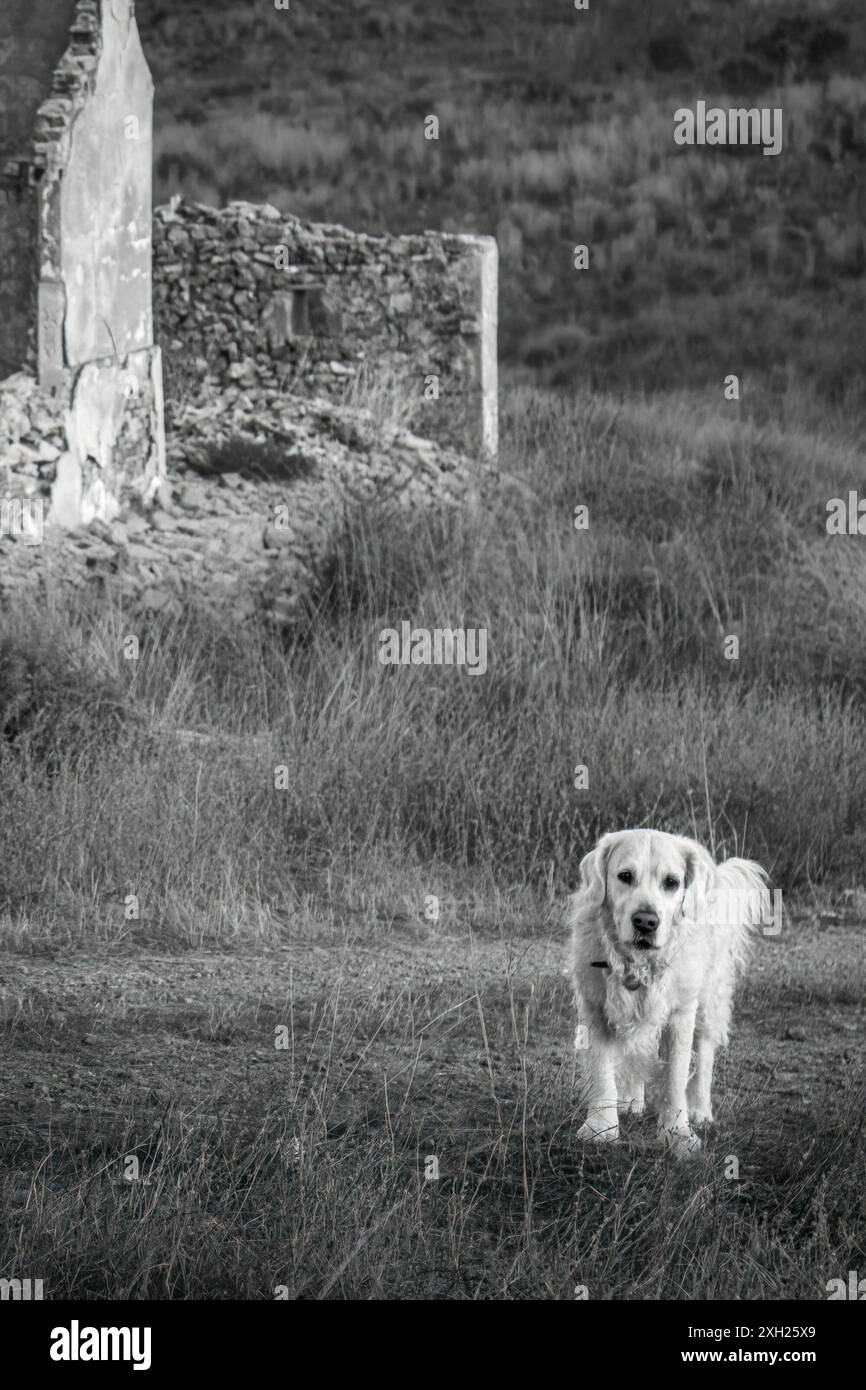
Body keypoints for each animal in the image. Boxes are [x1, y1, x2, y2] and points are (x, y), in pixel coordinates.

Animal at [572, 828, 767, 1156]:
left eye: (672, 882)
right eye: (625, 876)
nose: (646, 922)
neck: (638, 965)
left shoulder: (681, 1013)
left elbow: (675, 1078)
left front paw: (678, 1134)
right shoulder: (594, 1007)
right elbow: (602, 1073)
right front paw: (601, 1128)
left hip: (707, 1001)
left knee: (704, 1055)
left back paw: (700, 1110)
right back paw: (631, 1100)